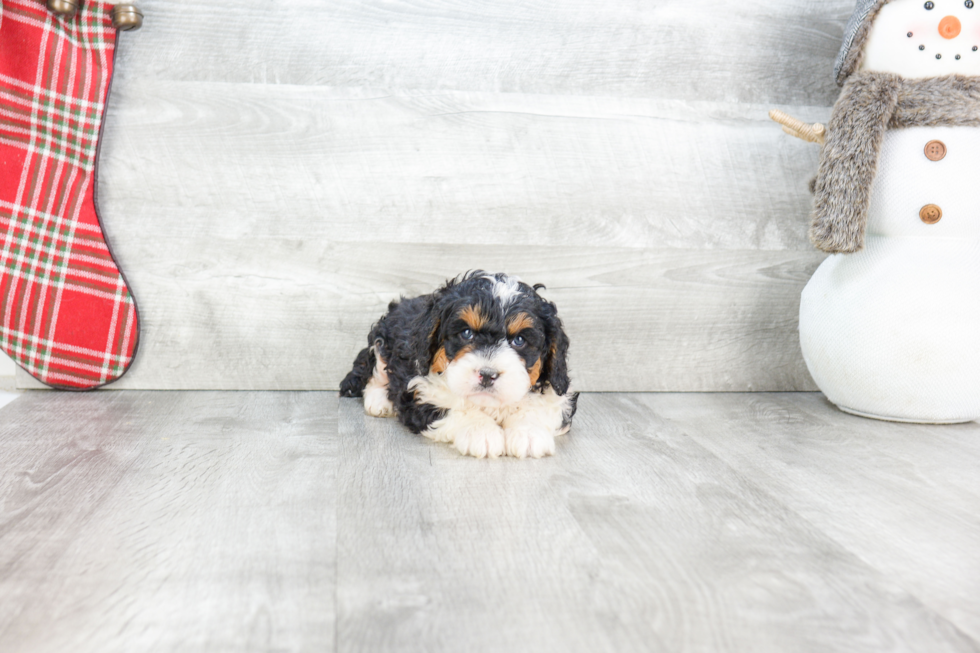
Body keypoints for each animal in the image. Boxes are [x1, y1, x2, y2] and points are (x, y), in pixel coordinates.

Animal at [340, 270, 580, 458]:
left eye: (519, 340)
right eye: (466, 333)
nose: (487, 375)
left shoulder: (558, 395)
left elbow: (539, 406)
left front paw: (528, 433)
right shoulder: (421, 391)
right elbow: (454, 408)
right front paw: (481, 432)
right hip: (383, 339)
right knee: (375, 369)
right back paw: (379, 400)